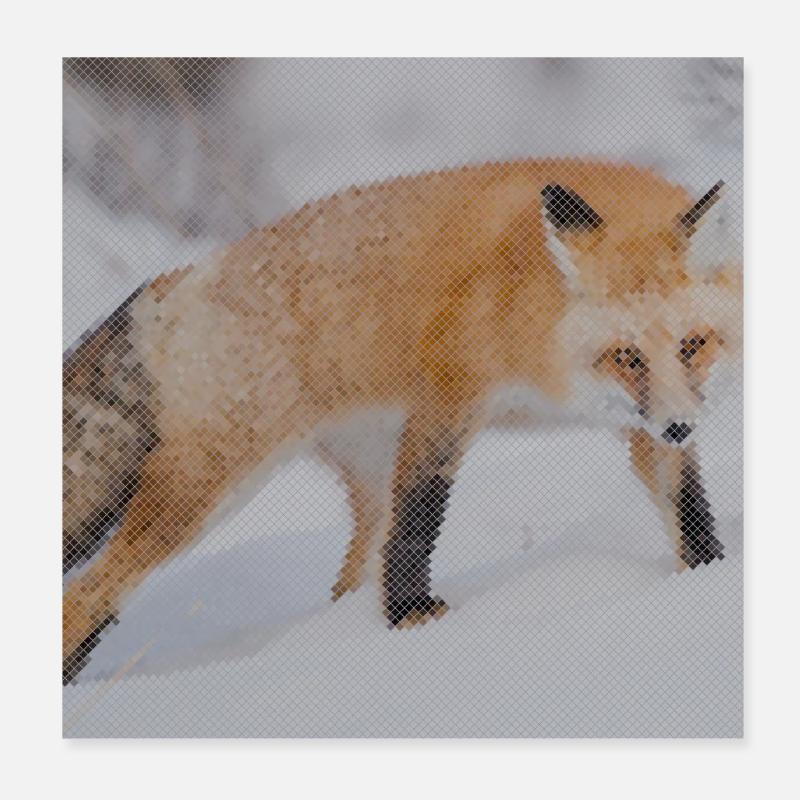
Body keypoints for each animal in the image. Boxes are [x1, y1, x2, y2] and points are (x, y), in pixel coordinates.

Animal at [63, 159, 741, 683]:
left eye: (692, 345)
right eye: (627, 356)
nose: (683, 426)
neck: (535, 311)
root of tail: (170, 284)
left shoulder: (643, 422)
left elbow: (688, 510)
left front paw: (708, 579)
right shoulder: (447, 398)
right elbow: (421, 519)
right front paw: (414, 617)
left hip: (363, 475)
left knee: (349, 581)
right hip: (204, 492)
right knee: (86, 595)